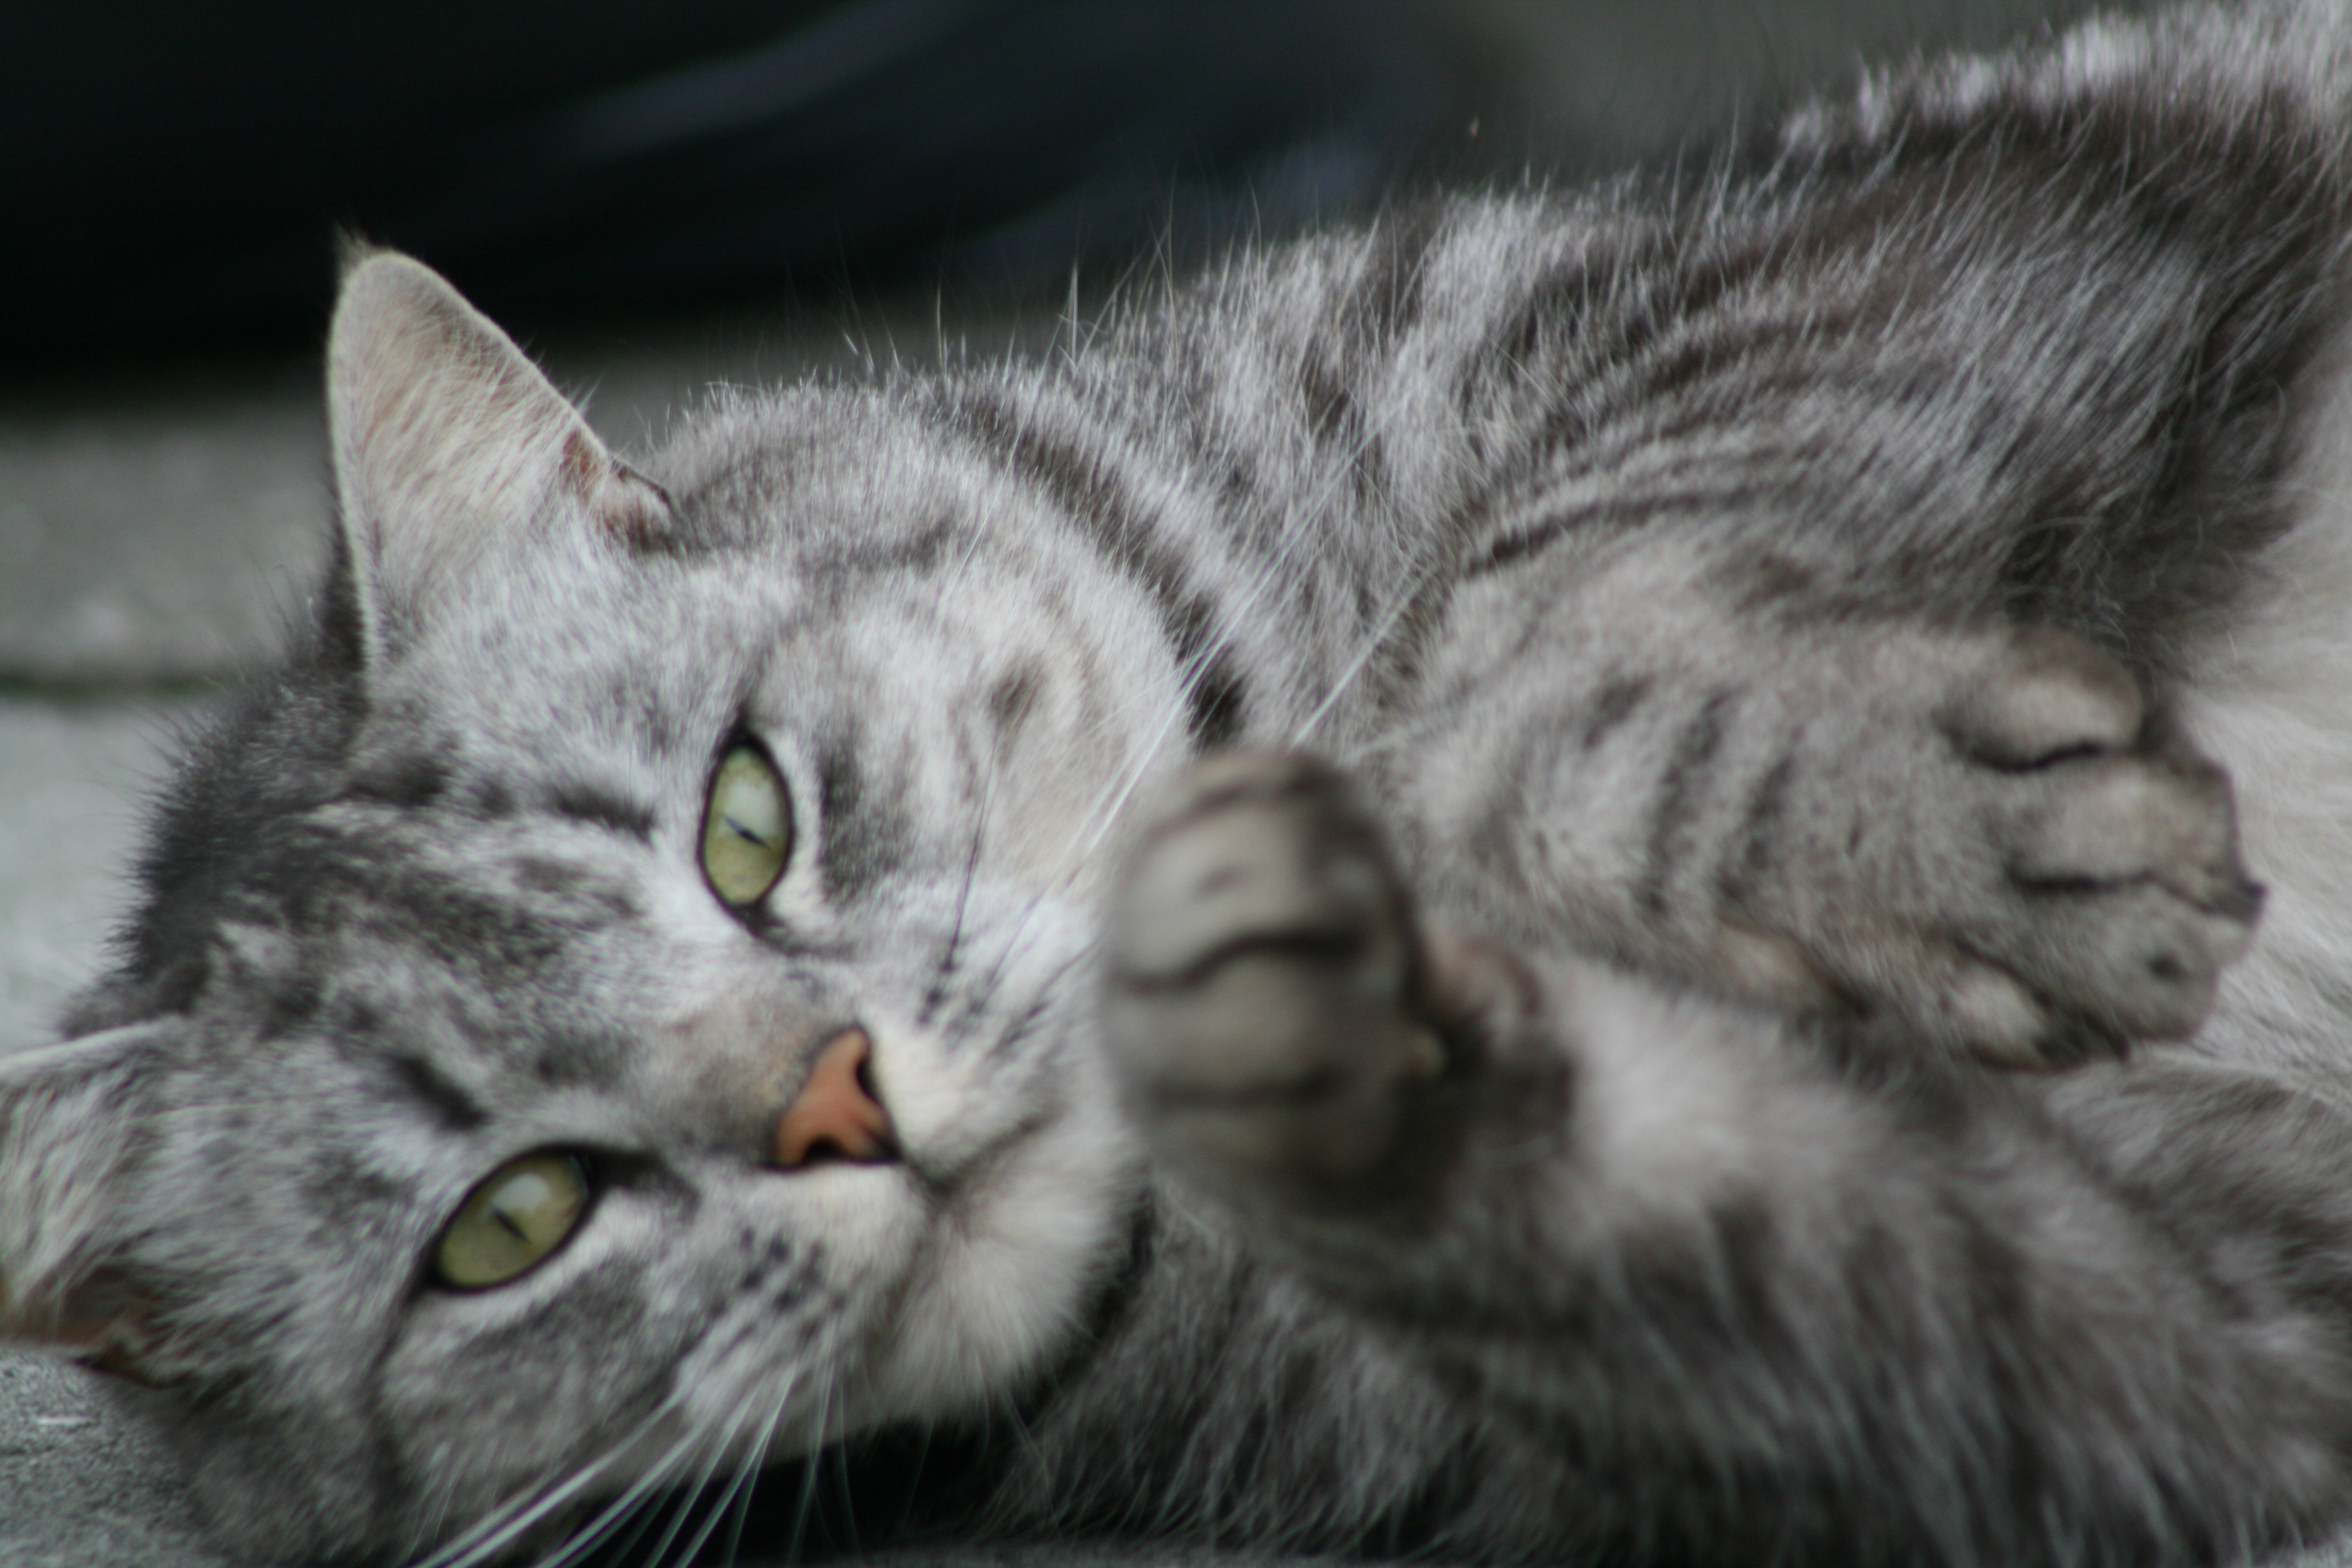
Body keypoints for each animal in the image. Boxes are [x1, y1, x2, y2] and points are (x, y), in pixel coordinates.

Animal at [22, 0, 2352, 1561]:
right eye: (511, 1224)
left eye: (747, 822)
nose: (837, 1101)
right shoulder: (2159, 1332)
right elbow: (1720, 1214)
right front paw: (1296, 1020)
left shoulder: (1936, 224)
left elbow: (1511, 643)